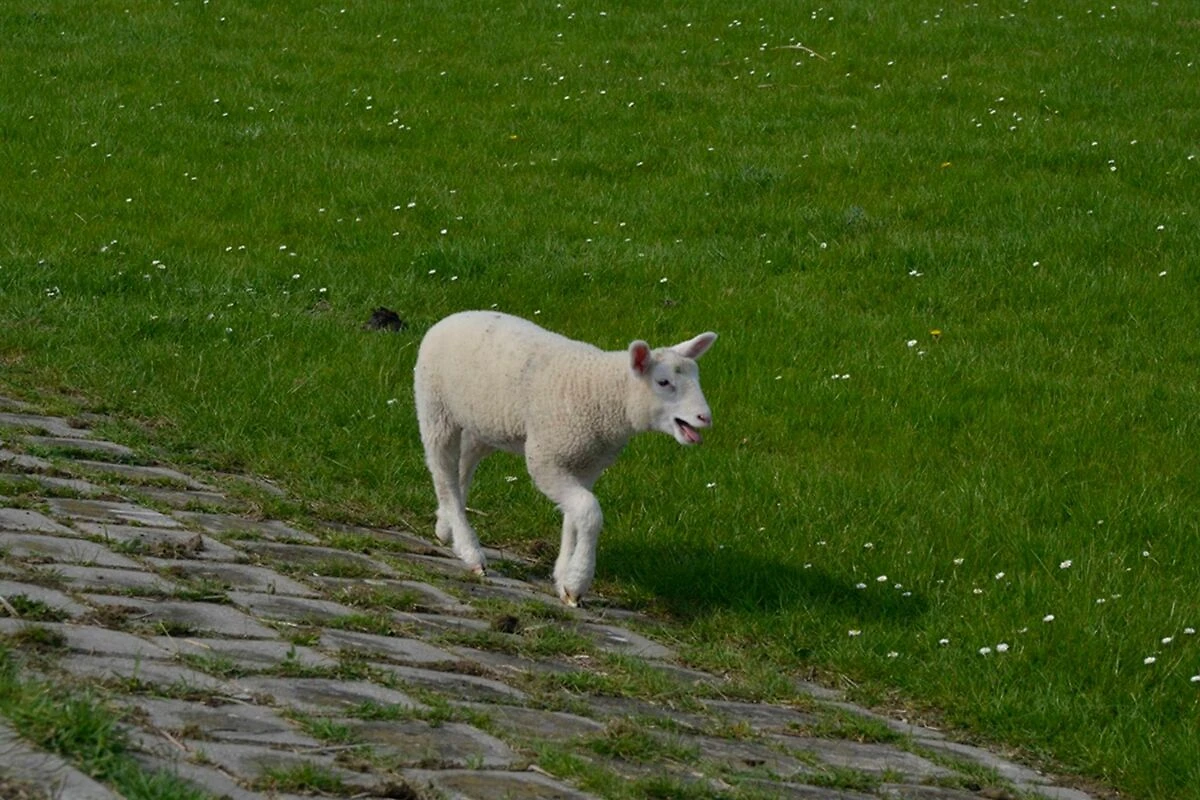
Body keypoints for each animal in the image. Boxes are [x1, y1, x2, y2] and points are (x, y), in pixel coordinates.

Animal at [413, 310, 717, 606]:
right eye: (663, 382)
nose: (705, 418)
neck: (603, 394)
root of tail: (450, 318)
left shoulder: (587, 465)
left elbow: (574, 518)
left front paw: (563, 578)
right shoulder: (547, 459)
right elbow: (589, 512)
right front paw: (578, 581)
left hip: (484, 424)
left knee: (464, 464)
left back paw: (445, 527)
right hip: (435, 408)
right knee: (443, 474)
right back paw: (469, 550)